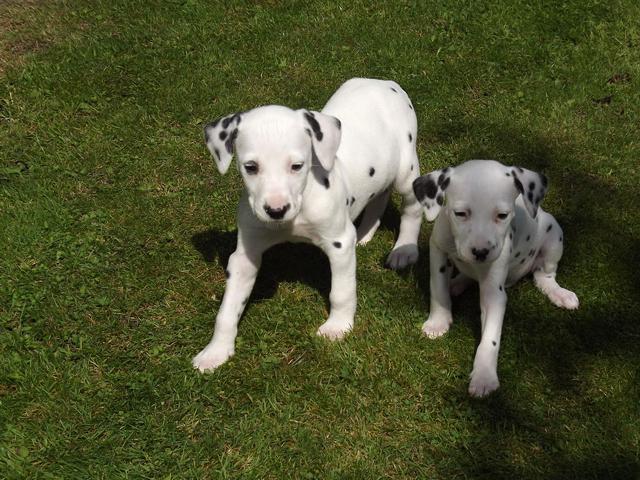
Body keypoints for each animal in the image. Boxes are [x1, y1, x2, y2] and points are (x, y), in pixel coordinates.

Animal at [195, 78, 424, 372]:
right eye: (251, 167)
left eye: (296, 165)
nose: (276, 210)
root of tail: (384, 82)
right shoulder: (245, 255)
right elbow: (227, 311)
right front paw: (216, 351)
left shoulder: (339, 244)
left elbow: (341, 292)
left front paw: (338, 327)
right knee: (378, 197)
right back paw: (364, 233)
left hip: (406, 171)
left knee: (411, 208)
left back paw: (404, 250)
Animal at [412, 159, 576, 396]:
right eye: (460, 213)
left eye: (502, 215)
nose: (481, 252)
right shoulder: (438, 249)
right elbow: (438, 288)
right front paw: (438, 321)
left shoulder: (493, 294)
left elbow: (490, 338)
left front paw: (484, 376)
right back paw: (457, 283)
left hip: (553, 235)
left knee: (544, 276)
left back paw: (559, 293)